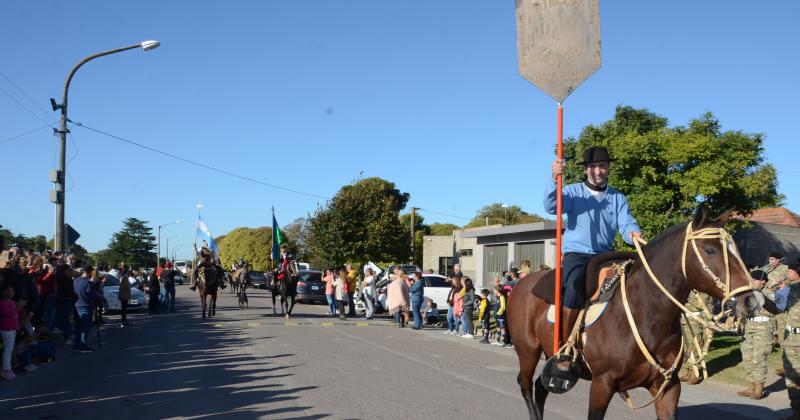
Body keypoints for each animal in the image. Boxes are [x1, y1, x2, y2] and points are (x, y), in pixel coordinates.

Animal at [510, 205, 760, 418]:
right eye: (710, 250)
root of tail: (522, 283)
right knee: (526, 385)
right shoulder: (602, 385)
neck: (646, 315)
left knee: (541, 388)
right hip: (528, 351)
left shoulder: (668, 387)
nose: (752, 300)